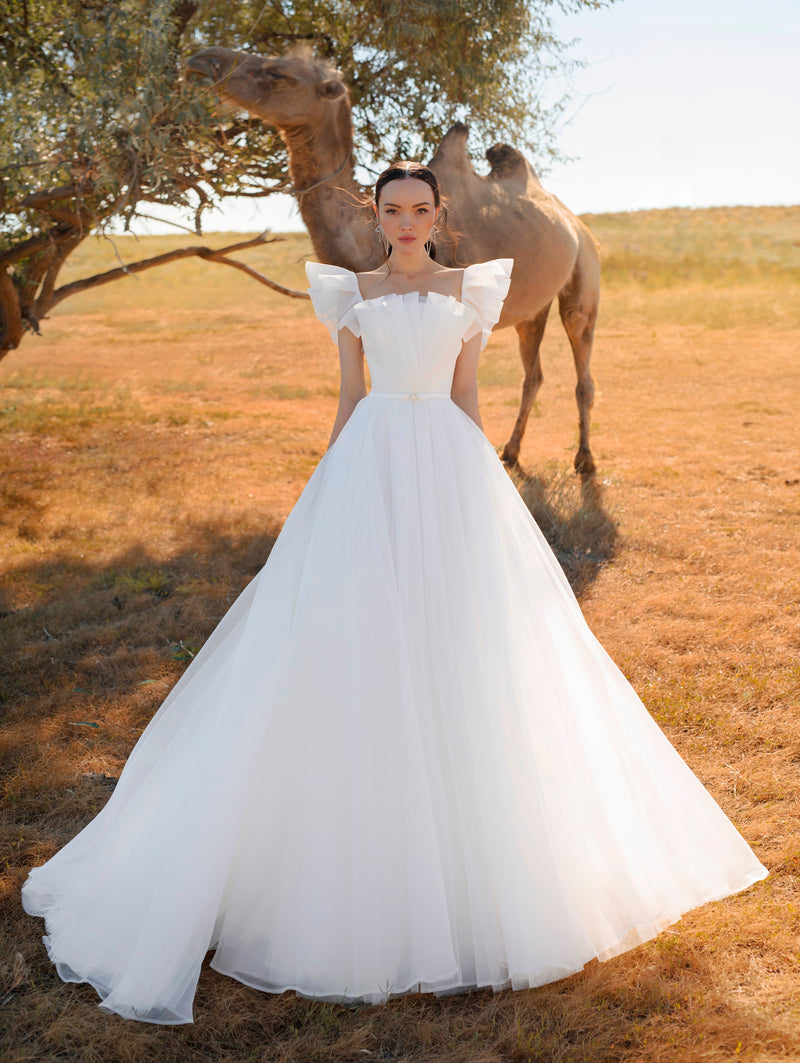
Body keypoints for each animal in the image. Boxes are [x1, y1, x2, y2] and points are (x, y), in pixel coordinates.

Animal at [186, 45, 599, 469]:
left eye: (278, 73)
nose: (201, 60)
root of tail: (571, 220)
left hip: (585, 271)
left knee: (580, 353)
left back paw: (584, 460)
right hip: (533, 309)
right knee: (533, 372)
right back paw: (512, 452)